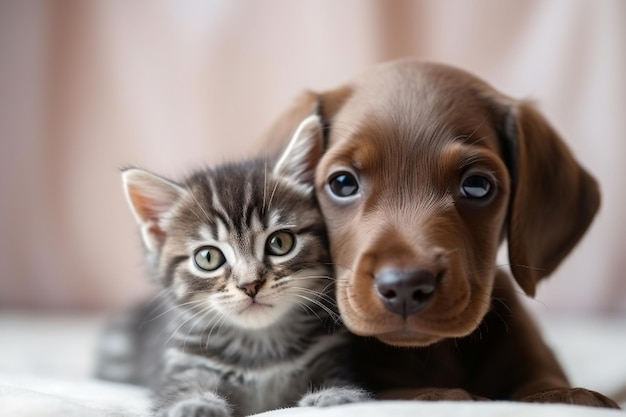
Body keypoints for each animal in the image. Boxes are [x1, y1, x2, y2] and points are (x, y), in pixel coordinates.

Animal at [97, 114, 368, 416]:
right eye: (208, 258)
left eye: (280, 242)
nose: (250, 284)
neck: (260, 347)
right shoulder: (182, 365)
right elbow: (182, 391)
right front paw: (194, 405)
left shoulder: (331, 352)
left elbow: (340, 377)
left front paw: (337, 396)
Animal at [260, 58, 620, 406]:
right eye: (342, 183)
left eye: (477, 185)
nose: (405, 286)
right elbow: (419, 393)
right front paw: (449, 393)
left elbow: (548, 386)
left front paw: (568, 395)